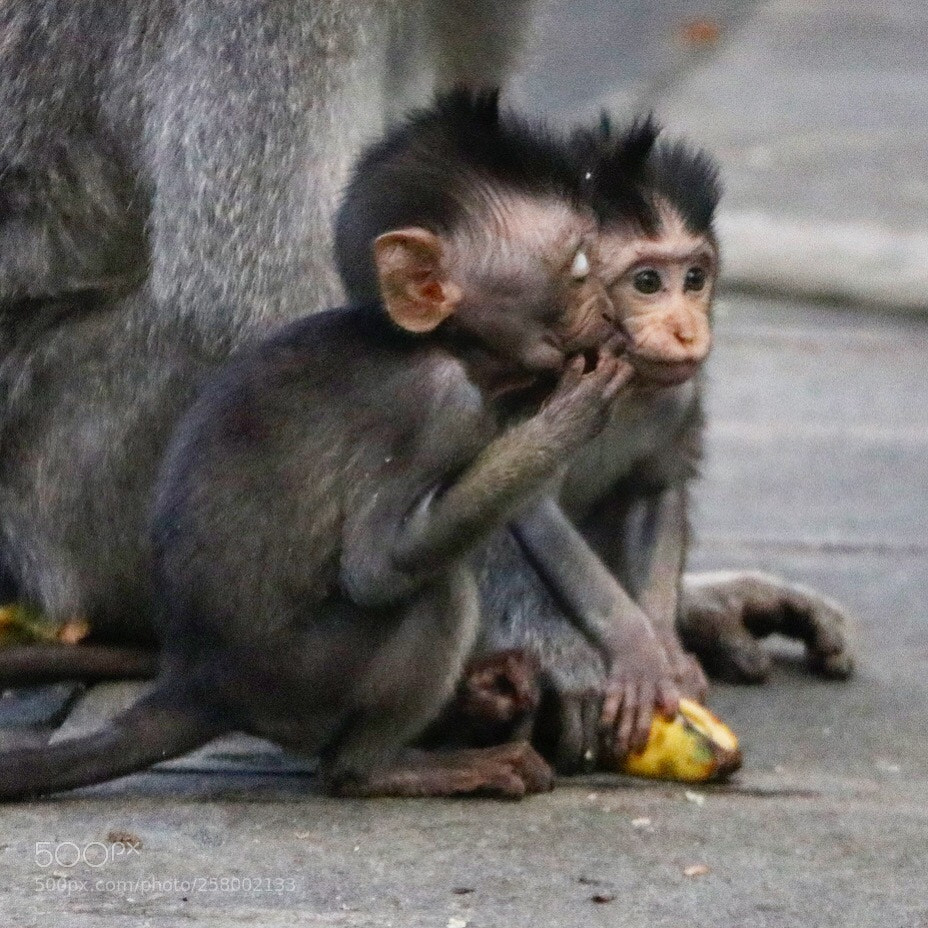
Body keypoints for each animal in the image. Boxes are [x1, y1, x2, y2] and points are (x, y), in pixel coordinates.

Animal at [0, 94, 648, 800]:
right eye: (579, 270)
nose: (611, 316)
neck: (439, 346)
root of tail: (200, 681)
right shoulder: (440, 406)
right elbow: (378, 567)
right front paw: (568, 418)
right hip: (310, 677)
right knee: (435, 595)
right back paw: (384, 767)